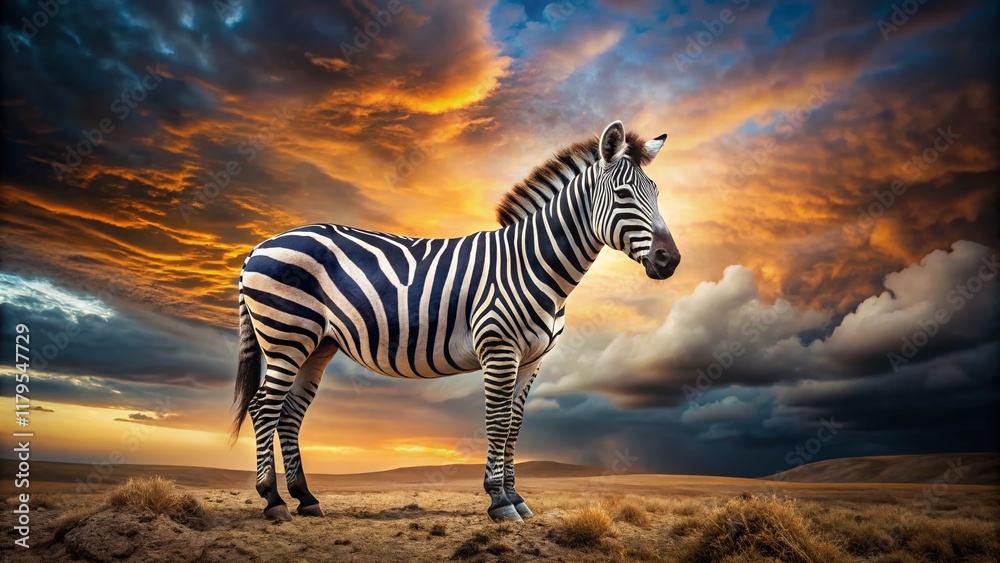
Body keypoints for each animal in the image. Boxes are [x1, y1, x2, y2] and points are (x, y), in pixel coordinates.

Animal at [231, 120, 681, 522]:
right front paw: (499, 502)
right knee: (263, 407)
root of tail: (260, 245)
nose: (671, 260)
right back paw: (273, 501)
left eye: (658, 193)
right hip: (287, 334)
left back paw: (306, 499)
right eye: (623, 193)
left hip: (317, 345)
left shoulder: (533, 360)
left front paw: (517, 499)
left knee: (289, 413)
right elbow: (497, 423)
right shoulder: (499, 348)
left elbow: (515, 425)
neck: (534, 263)